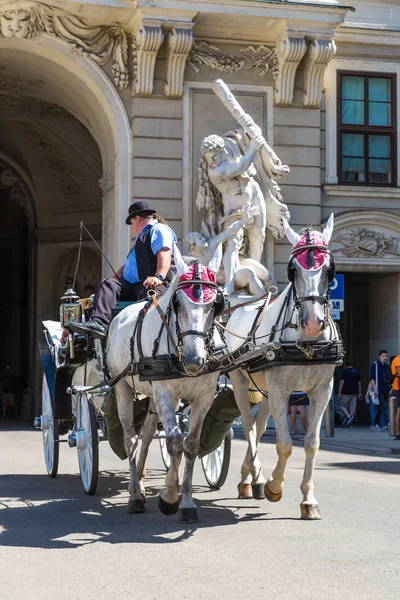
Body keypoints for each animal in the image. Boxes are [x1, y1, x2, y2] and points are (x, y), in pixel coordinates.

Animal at [106, 244, 223, 520]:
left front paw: (187, 501)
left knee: (147, 435)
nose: (193, 360)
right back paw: (135, 495)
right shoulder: (165, 394)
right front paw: (169, 496)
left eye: (215, 304)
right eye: (178, 303)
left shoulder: (204, 397)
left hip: (152, 394)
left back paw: (139, 480)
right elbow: (173, 441)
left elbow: (190, 444)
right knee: (130, 438)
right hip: (122, 387)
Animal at [223, 216, 342, 520]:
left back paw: (247, 479)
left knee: (260, 424)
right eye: (292, 270)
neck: (307, 343)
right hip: (241, 381)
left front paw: (309, 500)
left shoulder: (322, 391)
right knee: (250, 427)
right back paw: (256, 477)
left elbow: (311, 443)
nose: (312, 322)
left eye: (329, 270)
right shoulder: (279, 390)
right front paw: (274, 486)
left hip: (267, 389)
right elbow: (285, 444)